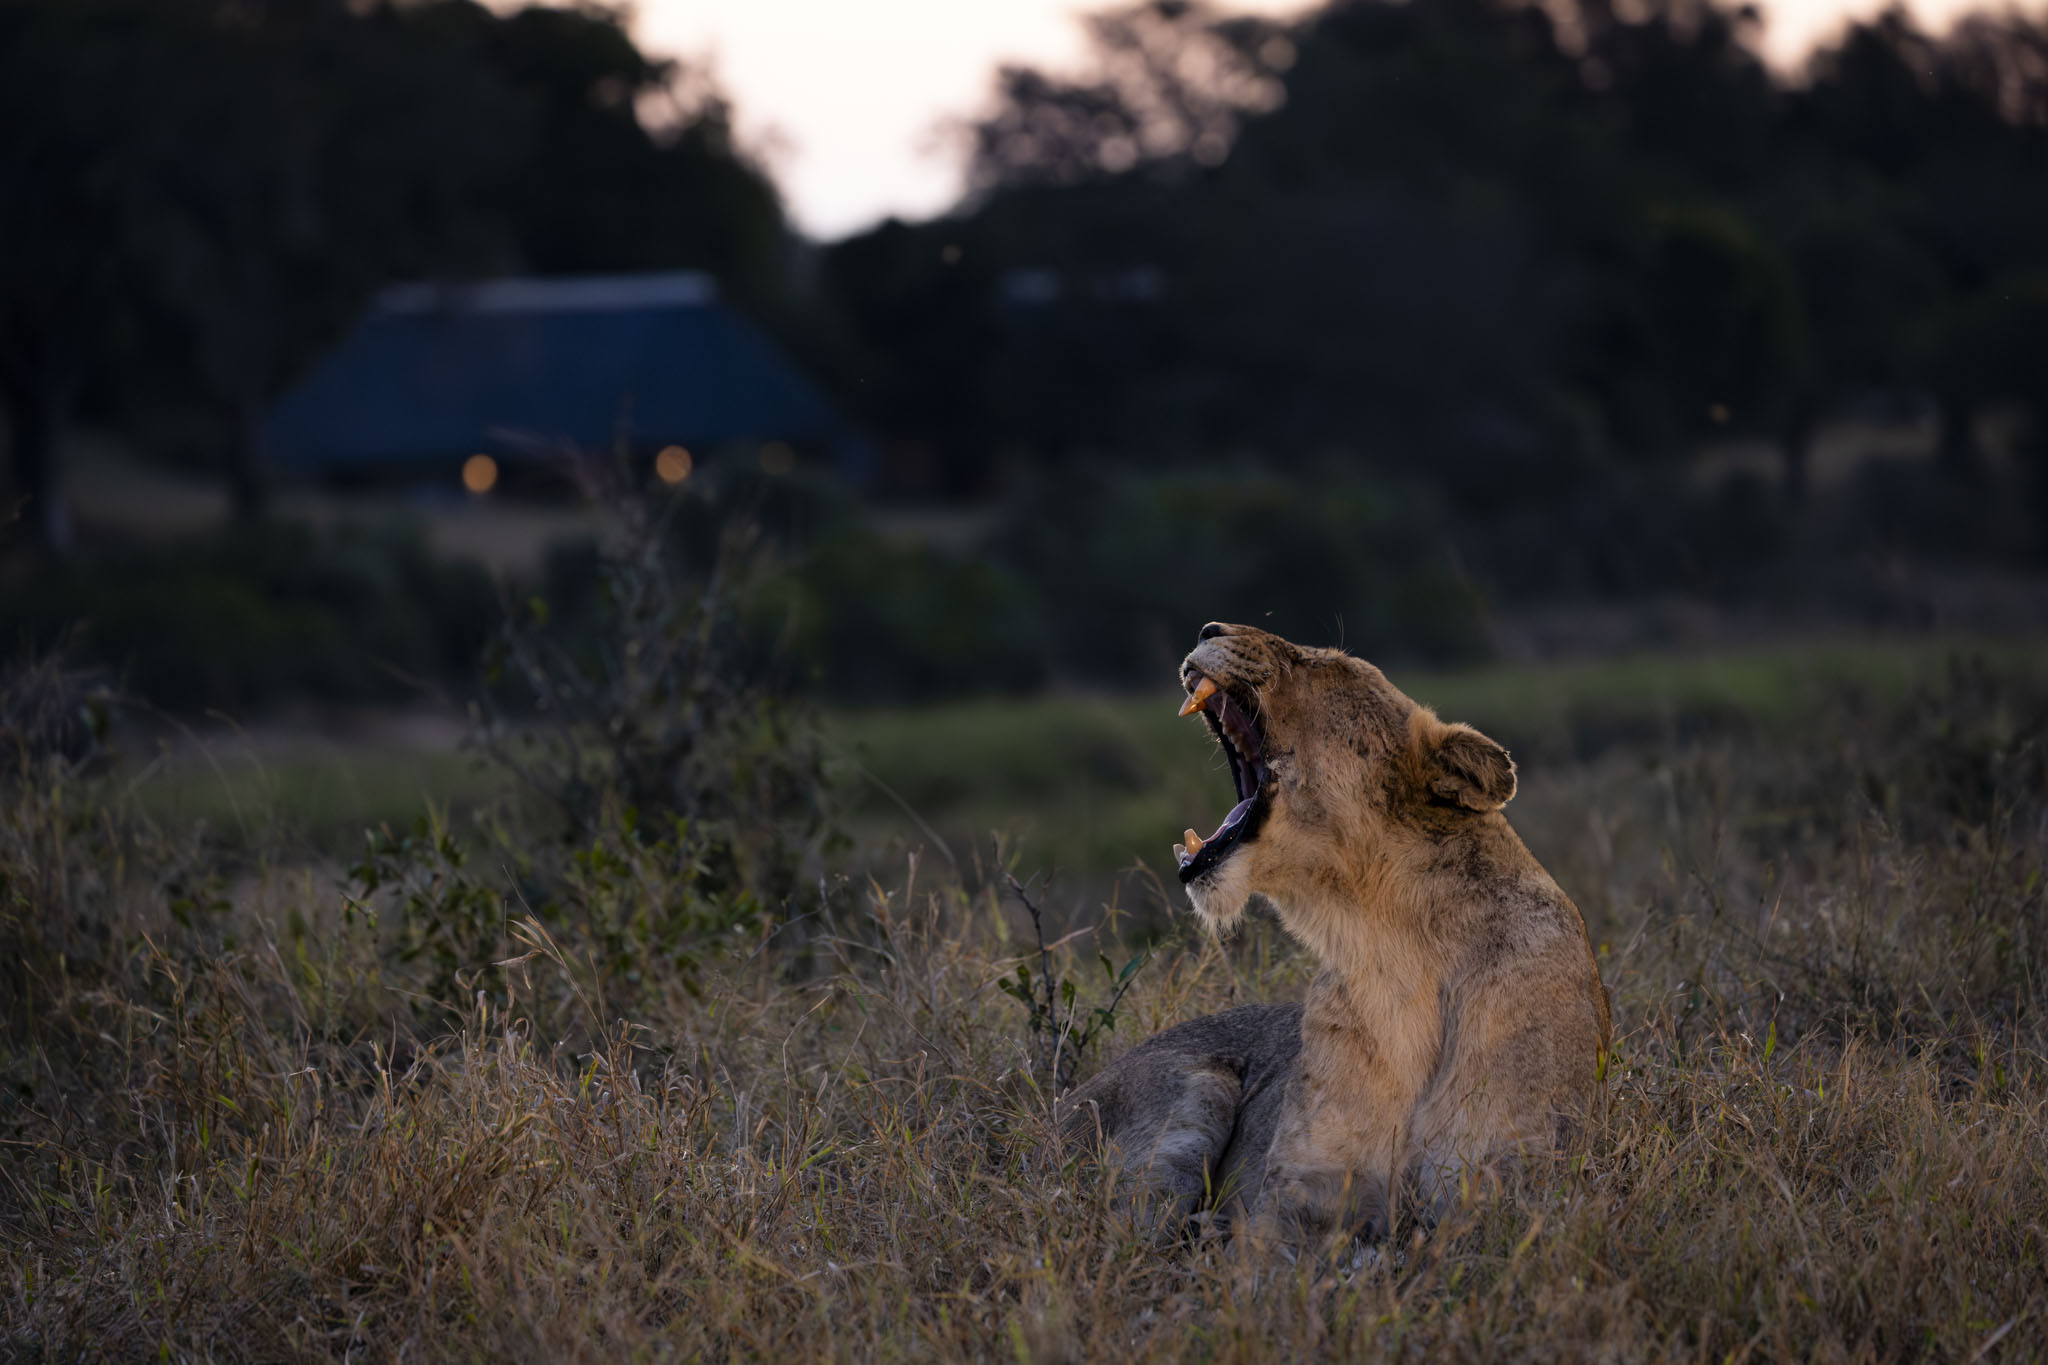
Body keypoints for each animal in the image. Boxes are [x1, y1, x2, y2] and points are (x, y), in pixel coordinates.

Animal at [1056, 622, 1610, 1250]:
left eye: (1326, 666)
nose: (1207, 629)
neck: (1389, 945)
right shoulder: (1297, 1195)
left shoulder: (1508, 1196)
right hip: (1196, 1094)